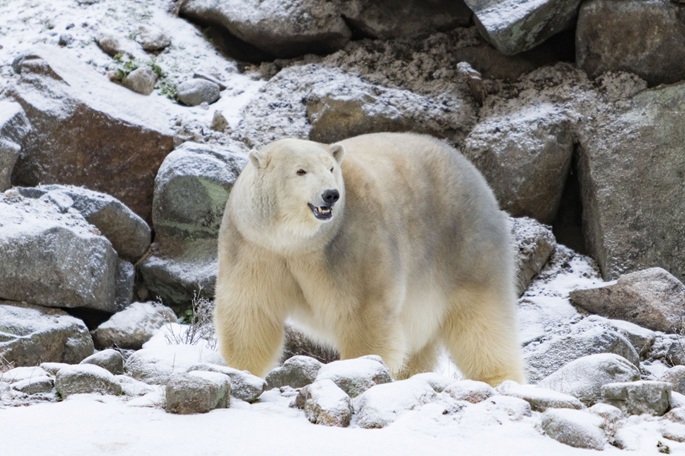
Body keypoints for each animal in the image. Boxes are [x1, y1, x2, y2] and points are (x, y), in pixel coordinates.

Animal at [214, 132, 525, 386]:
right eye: (300, 170)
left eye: (331, 168)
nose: (331, 195)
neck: (298, 242)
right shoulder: (255, 247)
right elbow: (251, 312)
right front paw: (242, 371)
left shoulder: (354, 240)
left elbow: (363, 313)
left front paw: (358, 368)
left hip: (465, 244)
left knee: (481, 319)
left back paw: (500, 379)